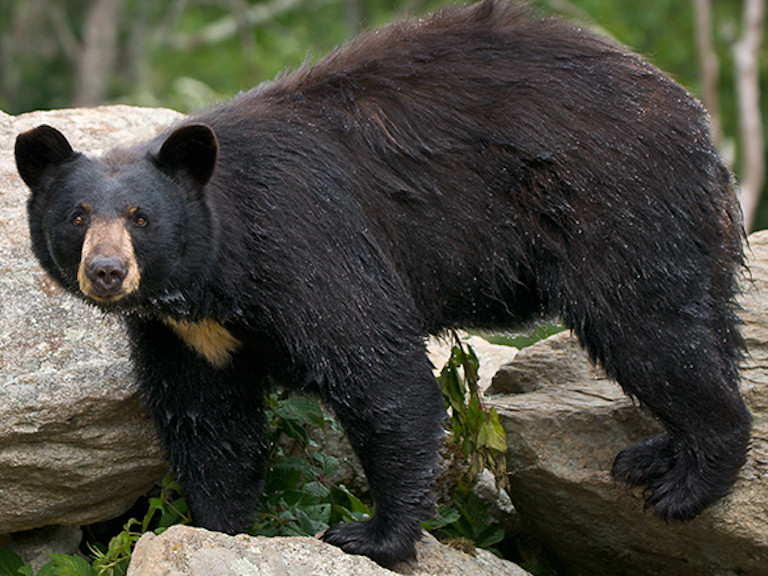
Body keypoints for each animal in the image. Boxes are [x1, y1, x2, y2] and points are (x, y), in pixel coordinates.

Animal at [16, 0, 752, 568]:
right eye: (77, 216)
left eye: (141, 218)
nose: (107, 272)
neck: (214, 275)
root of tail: (692, 115)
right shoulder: (184, 333)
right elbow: (208, 424)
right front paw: (220, 526)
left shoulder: (306, 245)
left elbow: (380, 376)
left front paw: (372, 535)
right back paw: (658, 454)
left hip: (617, 204)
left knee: (650, 330)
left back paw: (688, 481)